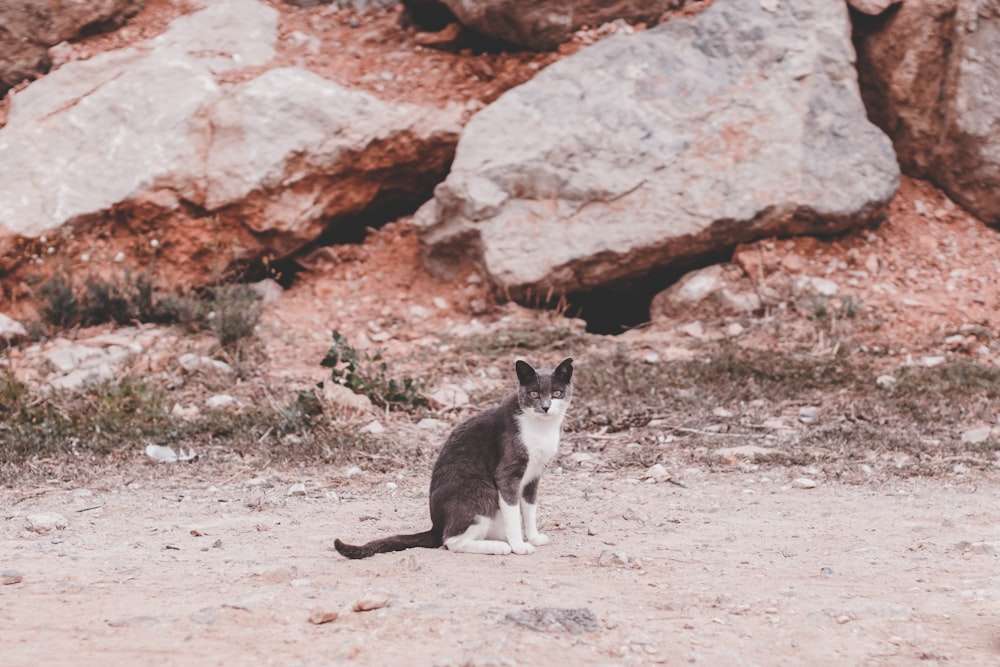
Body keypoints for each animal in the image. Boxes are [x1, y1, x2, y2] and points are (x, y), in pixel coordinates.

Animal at [334, 360, 576, 560]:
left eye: (556, 393)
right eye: (534, 394)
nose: (546, 407)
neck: (540, 428)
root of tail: (436, 526)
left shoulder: (534, 476)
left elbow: (529, 508)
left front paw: (534, 537)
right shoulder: (507, 474)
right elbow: (514, 513)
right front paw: (519, 545)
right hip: (480, 490)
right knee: (451, 540)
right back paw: (499, 546)